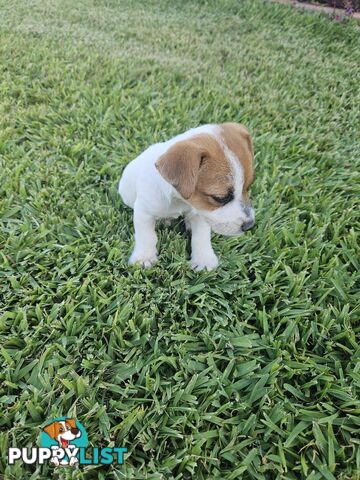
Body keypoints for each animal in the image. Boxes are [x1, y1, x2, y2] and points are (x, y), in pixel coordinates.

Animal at [119, 122, 255, 272]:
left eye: (248, 187)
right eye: (220, 198)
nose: (250, 225)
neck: (179, 199)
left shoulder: (201, 212)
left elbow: (201, 236)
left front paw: (203, 259)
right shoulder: (143, 212)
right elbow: (146, 235)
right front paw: (144, 257)